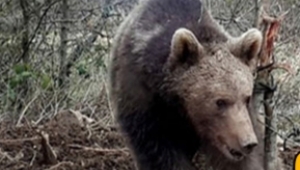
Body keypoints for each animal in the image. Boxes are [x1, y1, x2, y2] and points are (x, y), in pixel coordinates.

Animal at [108, 0, 284, 169]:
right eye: (220, 101)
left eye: (246, 98)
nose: (248, 143)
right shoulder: (144, 101)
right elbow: (159, 152)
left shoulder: (240, 122)